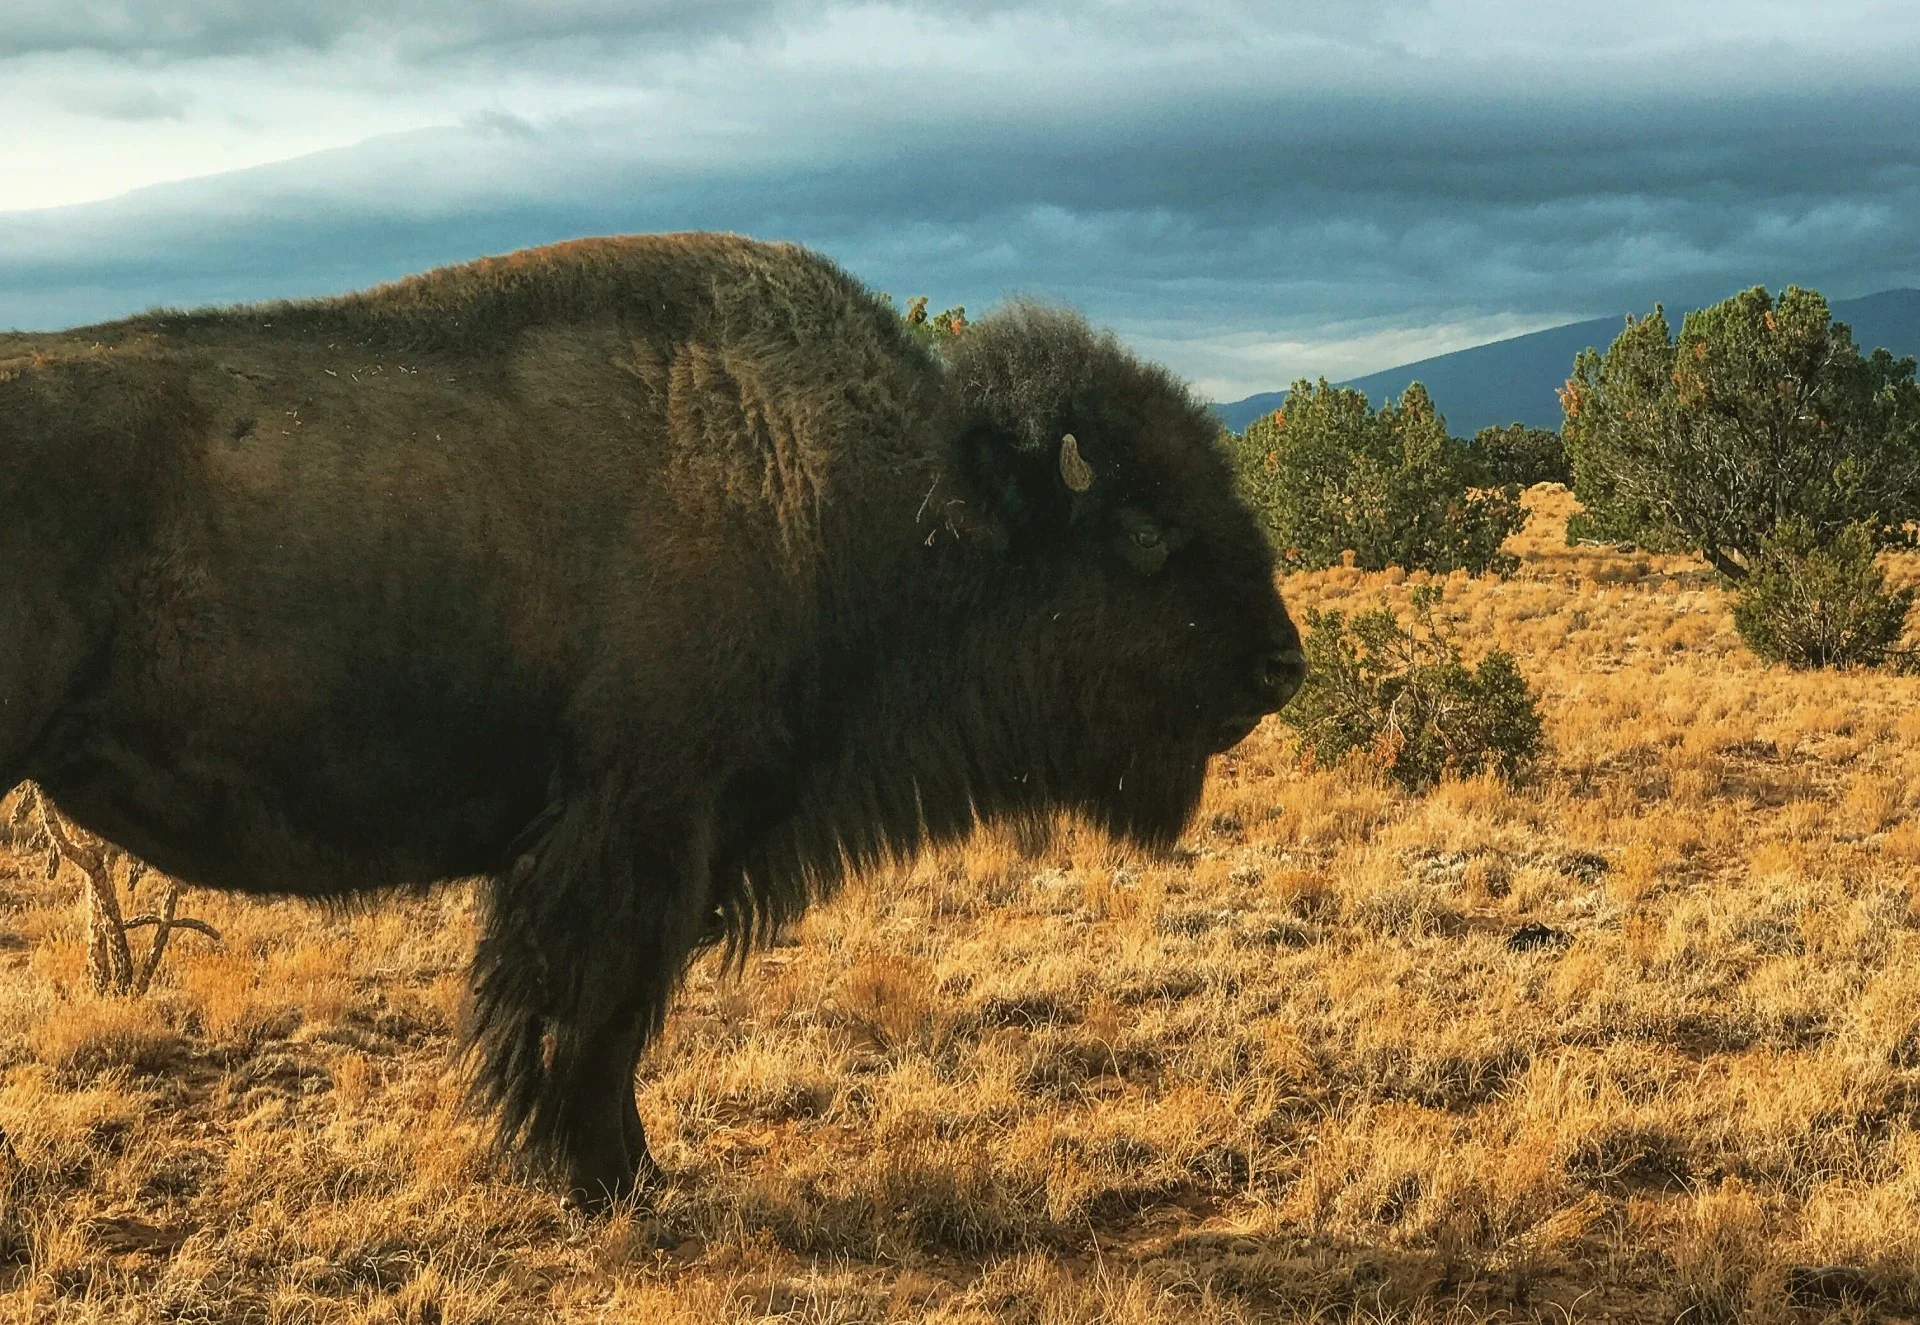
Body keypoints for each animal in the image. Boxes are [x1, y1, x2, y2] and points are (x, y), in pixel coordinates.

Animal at [0, 234, 1304, 1206]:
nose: (1280, 664)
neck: (886, 494)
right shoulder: (641, 831)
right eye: (1145, 531)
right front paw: (611, 1176)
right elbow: (597, 1012)